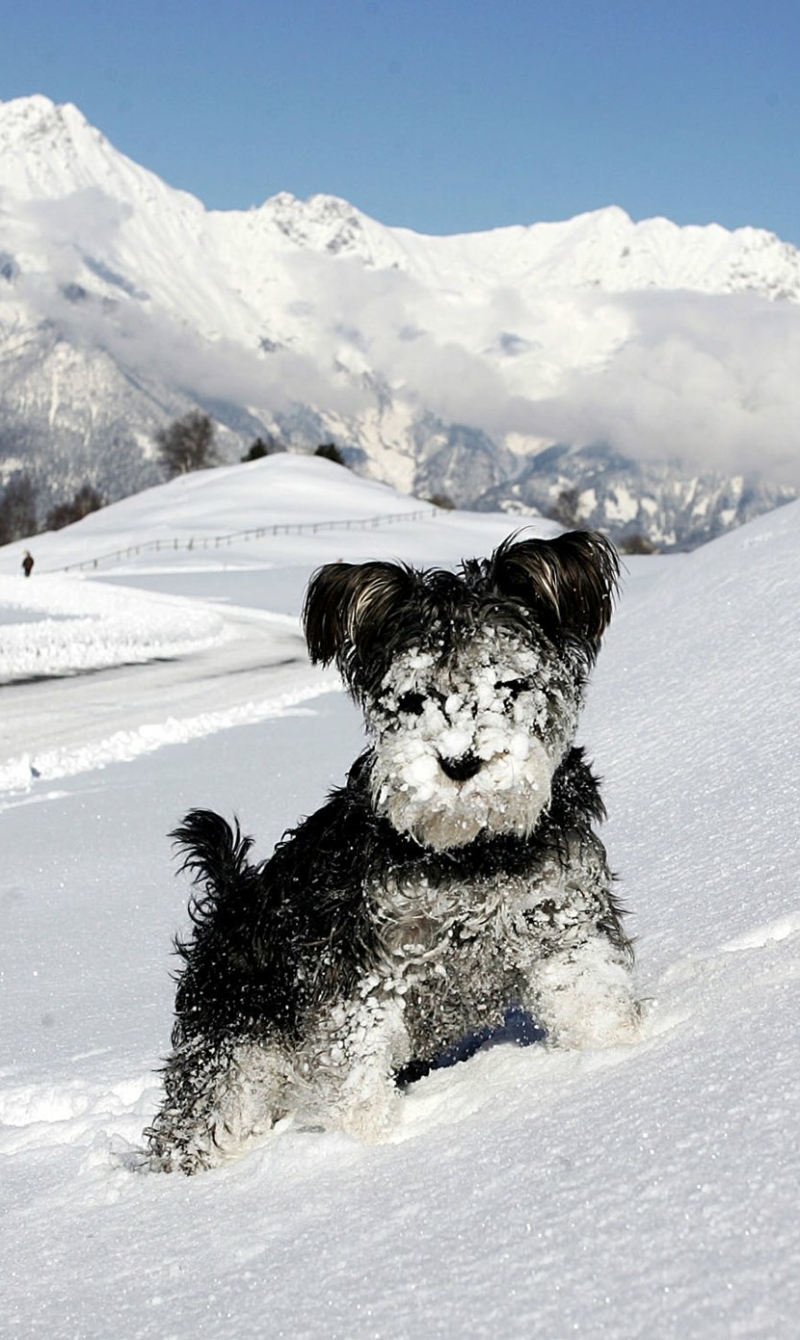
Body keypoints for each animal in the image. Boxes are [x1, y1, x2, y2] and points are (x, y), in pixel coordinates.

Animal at [146, 530, 640, 1173]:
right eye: (411, 700)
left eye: (510, 685)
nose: (459, 763)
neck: (471, 850)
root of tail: (231, 899)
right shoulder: (361, 968)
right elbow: (354, 1067)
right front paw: (372, 1146)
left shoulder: (561, 917)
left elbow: (592, 997)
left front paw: (613, 1056)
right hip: (229, 1049)